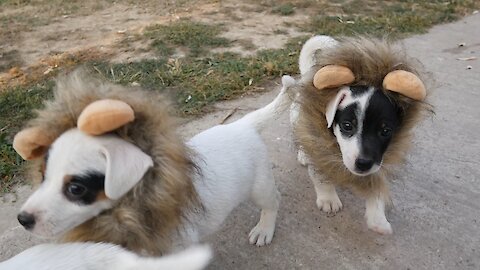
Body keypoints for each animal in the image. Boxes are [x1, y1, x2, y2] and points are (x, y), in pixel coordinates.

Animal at [14, 69, 296, 253]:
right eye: (43, 176)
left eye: (75, 189)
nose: (22, 219)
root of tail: (242, 124)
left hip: (259, 185)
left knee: (274, 200)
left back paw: (264, 229)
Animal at [290, 35, 430, 234]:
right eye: (347, 126)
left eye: (385, 131)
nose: (363, 164)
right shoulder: (319, 148)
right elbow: (320, 173)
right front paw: (328, 198)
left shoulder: (380, 162)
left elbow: (376, 188)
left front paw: (378, 219)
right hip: (298, 120)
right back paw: (303, 155)